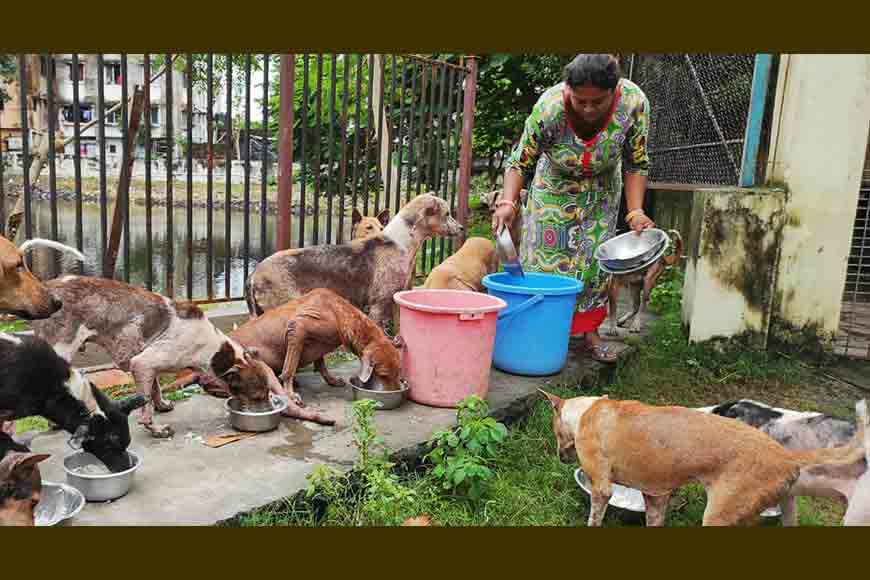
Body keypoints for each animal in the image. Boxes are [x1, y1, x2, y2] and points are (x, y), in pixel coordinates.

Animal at [29, 278, 282, 438]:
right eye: (258, 396)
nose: (270, 408)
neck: (211, 348)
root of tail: (47, 287)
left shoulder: (148, 365)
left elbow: (155, 389)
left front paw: (161, 405)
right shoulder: (143, 364)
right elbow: (146, 407)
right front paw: (156, 429)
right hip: (60, 352)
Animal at [168, 288, 406, 422]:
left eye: (398, 373)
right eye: (385, 374)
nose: (398, 392)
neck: (339, 312)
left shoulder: (315, 345)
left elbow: (321, 364)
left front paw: (330, 380)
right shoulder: (297, 329)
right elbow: (289, 369)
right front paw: (292, 392)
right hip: (259, 365)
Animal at [245, 193, 464, 330]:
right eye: (447, 214)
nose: (462, 228)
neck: (400, 242)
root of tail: (254, 274)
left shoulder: (396, 300)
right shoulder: (378, 305)